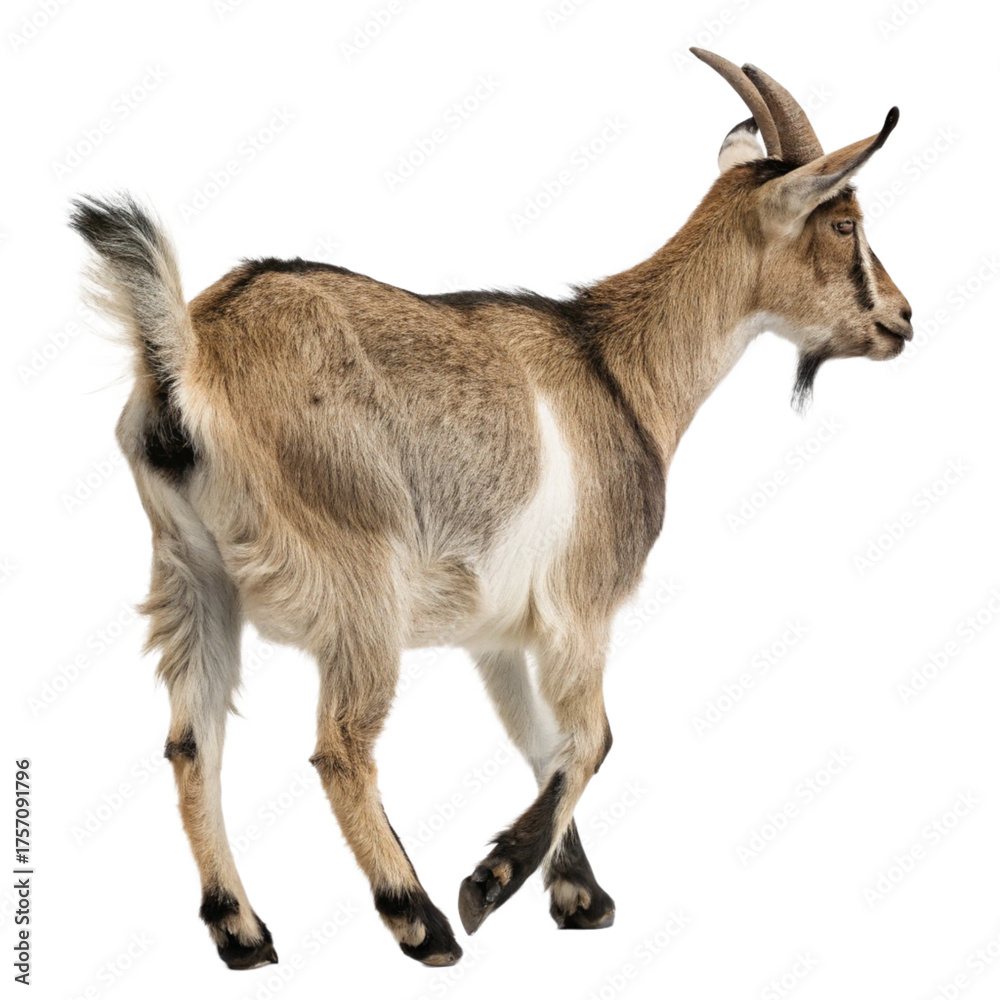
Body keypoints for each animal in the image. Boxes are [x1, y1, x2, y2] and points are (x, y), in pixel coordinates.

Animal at [70, 47, 912, 970]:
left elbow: (544, 741)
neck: (618, 369)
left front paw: (579, 895)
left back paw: (241, 929)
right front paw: (493, 883)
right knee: (341, 744)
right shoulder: (581, 604)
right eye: (844, 224)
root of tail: (189, 358)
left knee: (194, 740)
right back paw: (420, 918)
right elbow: (594, 738)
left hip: (190, 570)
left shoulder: (500, 632)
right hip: (359, 574)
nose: (902, 319)